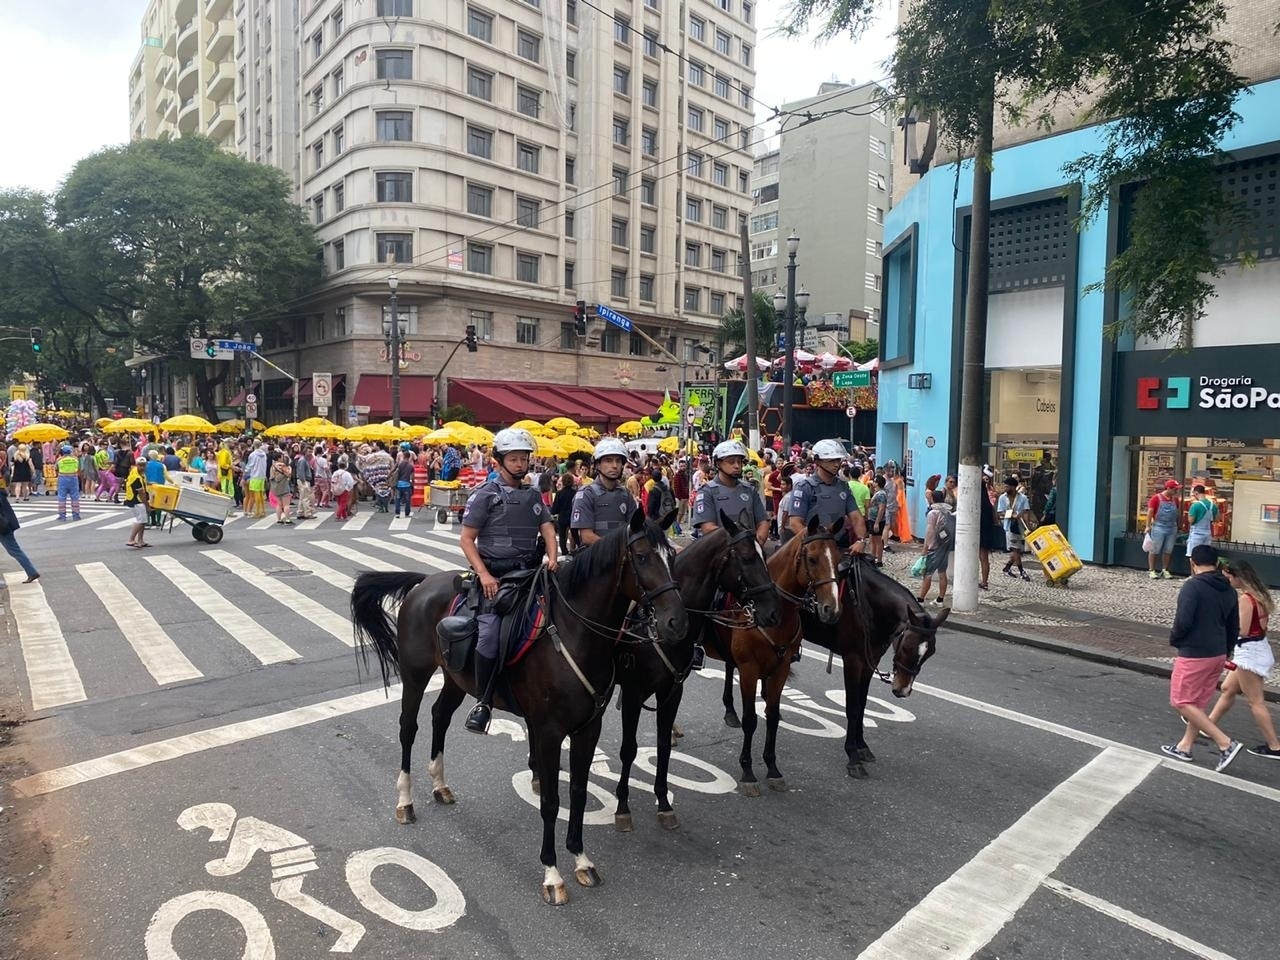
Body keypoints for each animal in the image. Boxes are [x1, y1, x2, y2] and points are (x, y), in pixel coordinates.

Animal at [348, 512, 691, 911]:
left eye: (672, 555)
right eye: (641, 557)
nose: (677, 623)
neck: (576, 633)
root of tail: (424, 582)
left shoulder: (587, 728)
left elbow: (577, 792)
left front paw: (581, 859)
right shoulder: (548, 732)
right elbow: (551, 801)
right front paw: (552, 874)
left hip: (455, 679)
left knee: (440, 716)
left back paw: (439, 783)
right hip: (415, 674)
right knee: (408, 727)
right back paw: (405, 800)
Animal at [609, 512, 778, 834]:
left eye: (766, 554)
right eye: (747, 558)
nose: (771, 610)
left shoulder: (673, 690)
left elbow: (662, 746)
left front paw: (663, 802)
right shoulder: (634, 693)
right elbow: (628, 749)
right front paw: (623, 806)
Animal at [706, 519, 844, 798]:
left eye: (839, 559)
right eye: (812, 559)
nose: (831, 609)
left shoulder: (779, 670)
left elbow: (771, 715)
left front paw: (772, 767)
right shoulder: (749, 670)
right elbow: (751, 720)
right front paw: (748, 771)